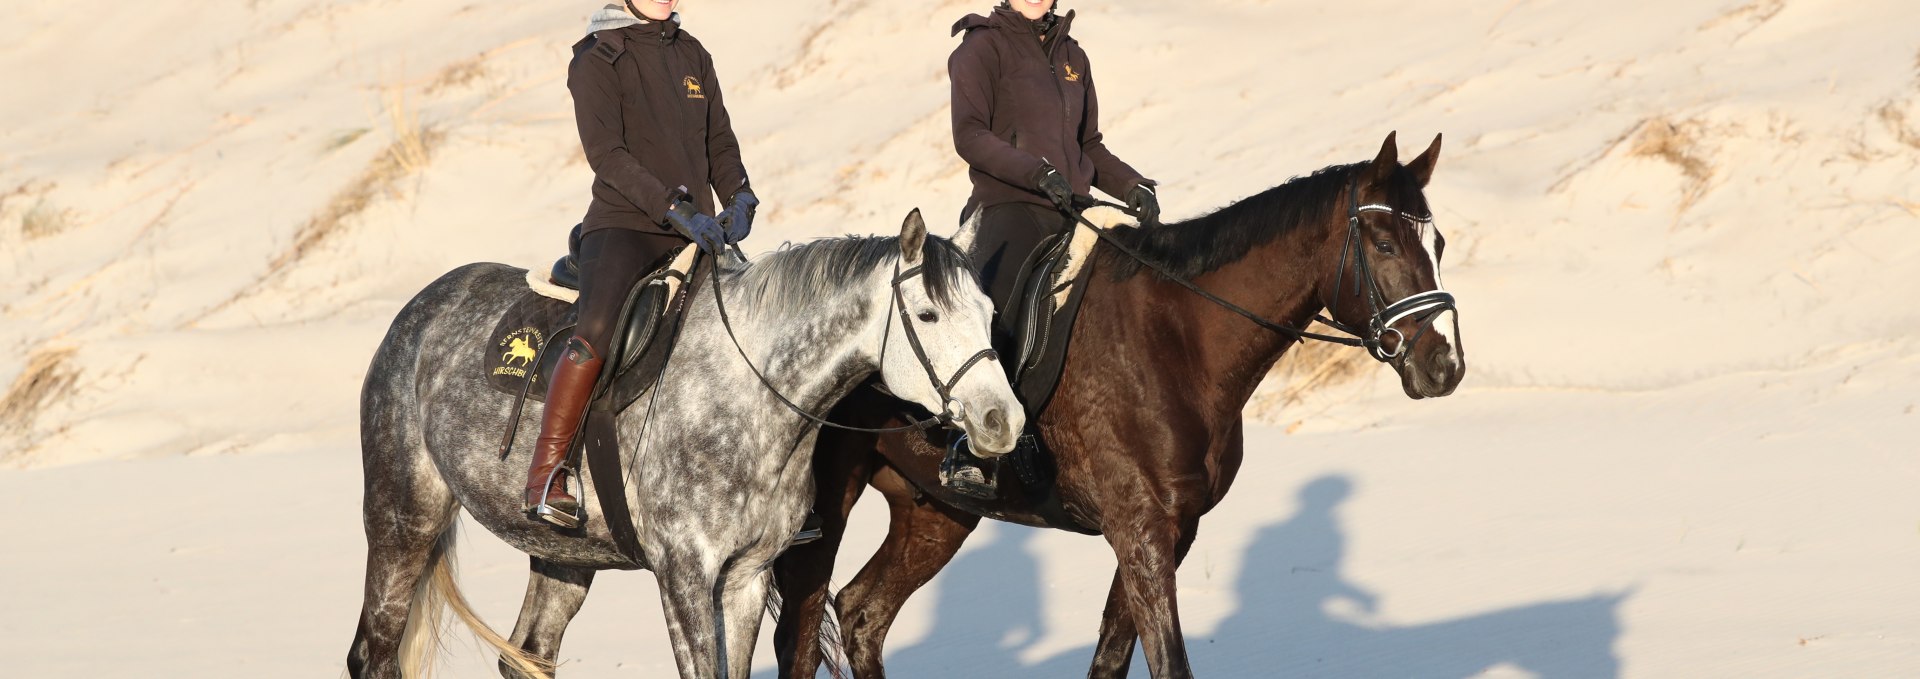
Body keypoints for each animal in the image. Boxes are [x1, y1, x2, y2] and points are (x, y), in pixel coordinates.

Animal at [343, 213, 1021, 679]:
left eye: (989, 311)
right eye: (929, 315)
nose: (1001, 419)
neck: (746, 392)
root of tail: (420, 309)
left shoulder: (746, 578)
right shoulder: (684, 575)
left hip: (563, 553)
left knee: (528, 656)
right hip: (404, 518)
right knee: (372, 654)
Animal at [771, 134, 1459, 679]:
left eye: (1440, 243)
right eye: (1383, 243)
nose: (1444, 365)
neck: (1179, 340)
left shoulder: (1171, 530)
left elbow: (1110, 658)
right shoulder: (1140, 530)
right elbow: (1168, 662)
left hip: (935, 510)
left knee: (862, 613)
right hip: (828, 506)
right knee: (800, 635)